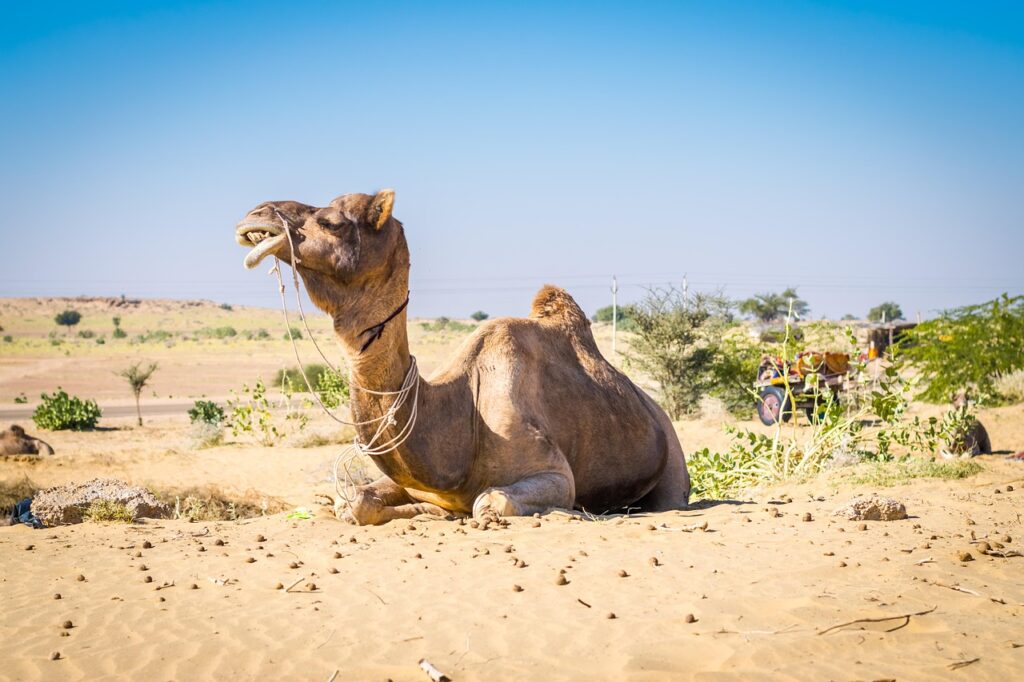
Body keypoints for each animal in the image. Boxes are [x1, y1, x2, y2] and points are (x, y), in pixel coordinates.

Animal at [235, 189, 690, 524]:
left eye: (331, 221)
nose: (255, 218)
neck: (458, 411)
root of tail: (656, 411)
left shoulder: (556, 475)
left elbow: (489, 502)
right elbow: (356, 502)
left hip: (673, 463)